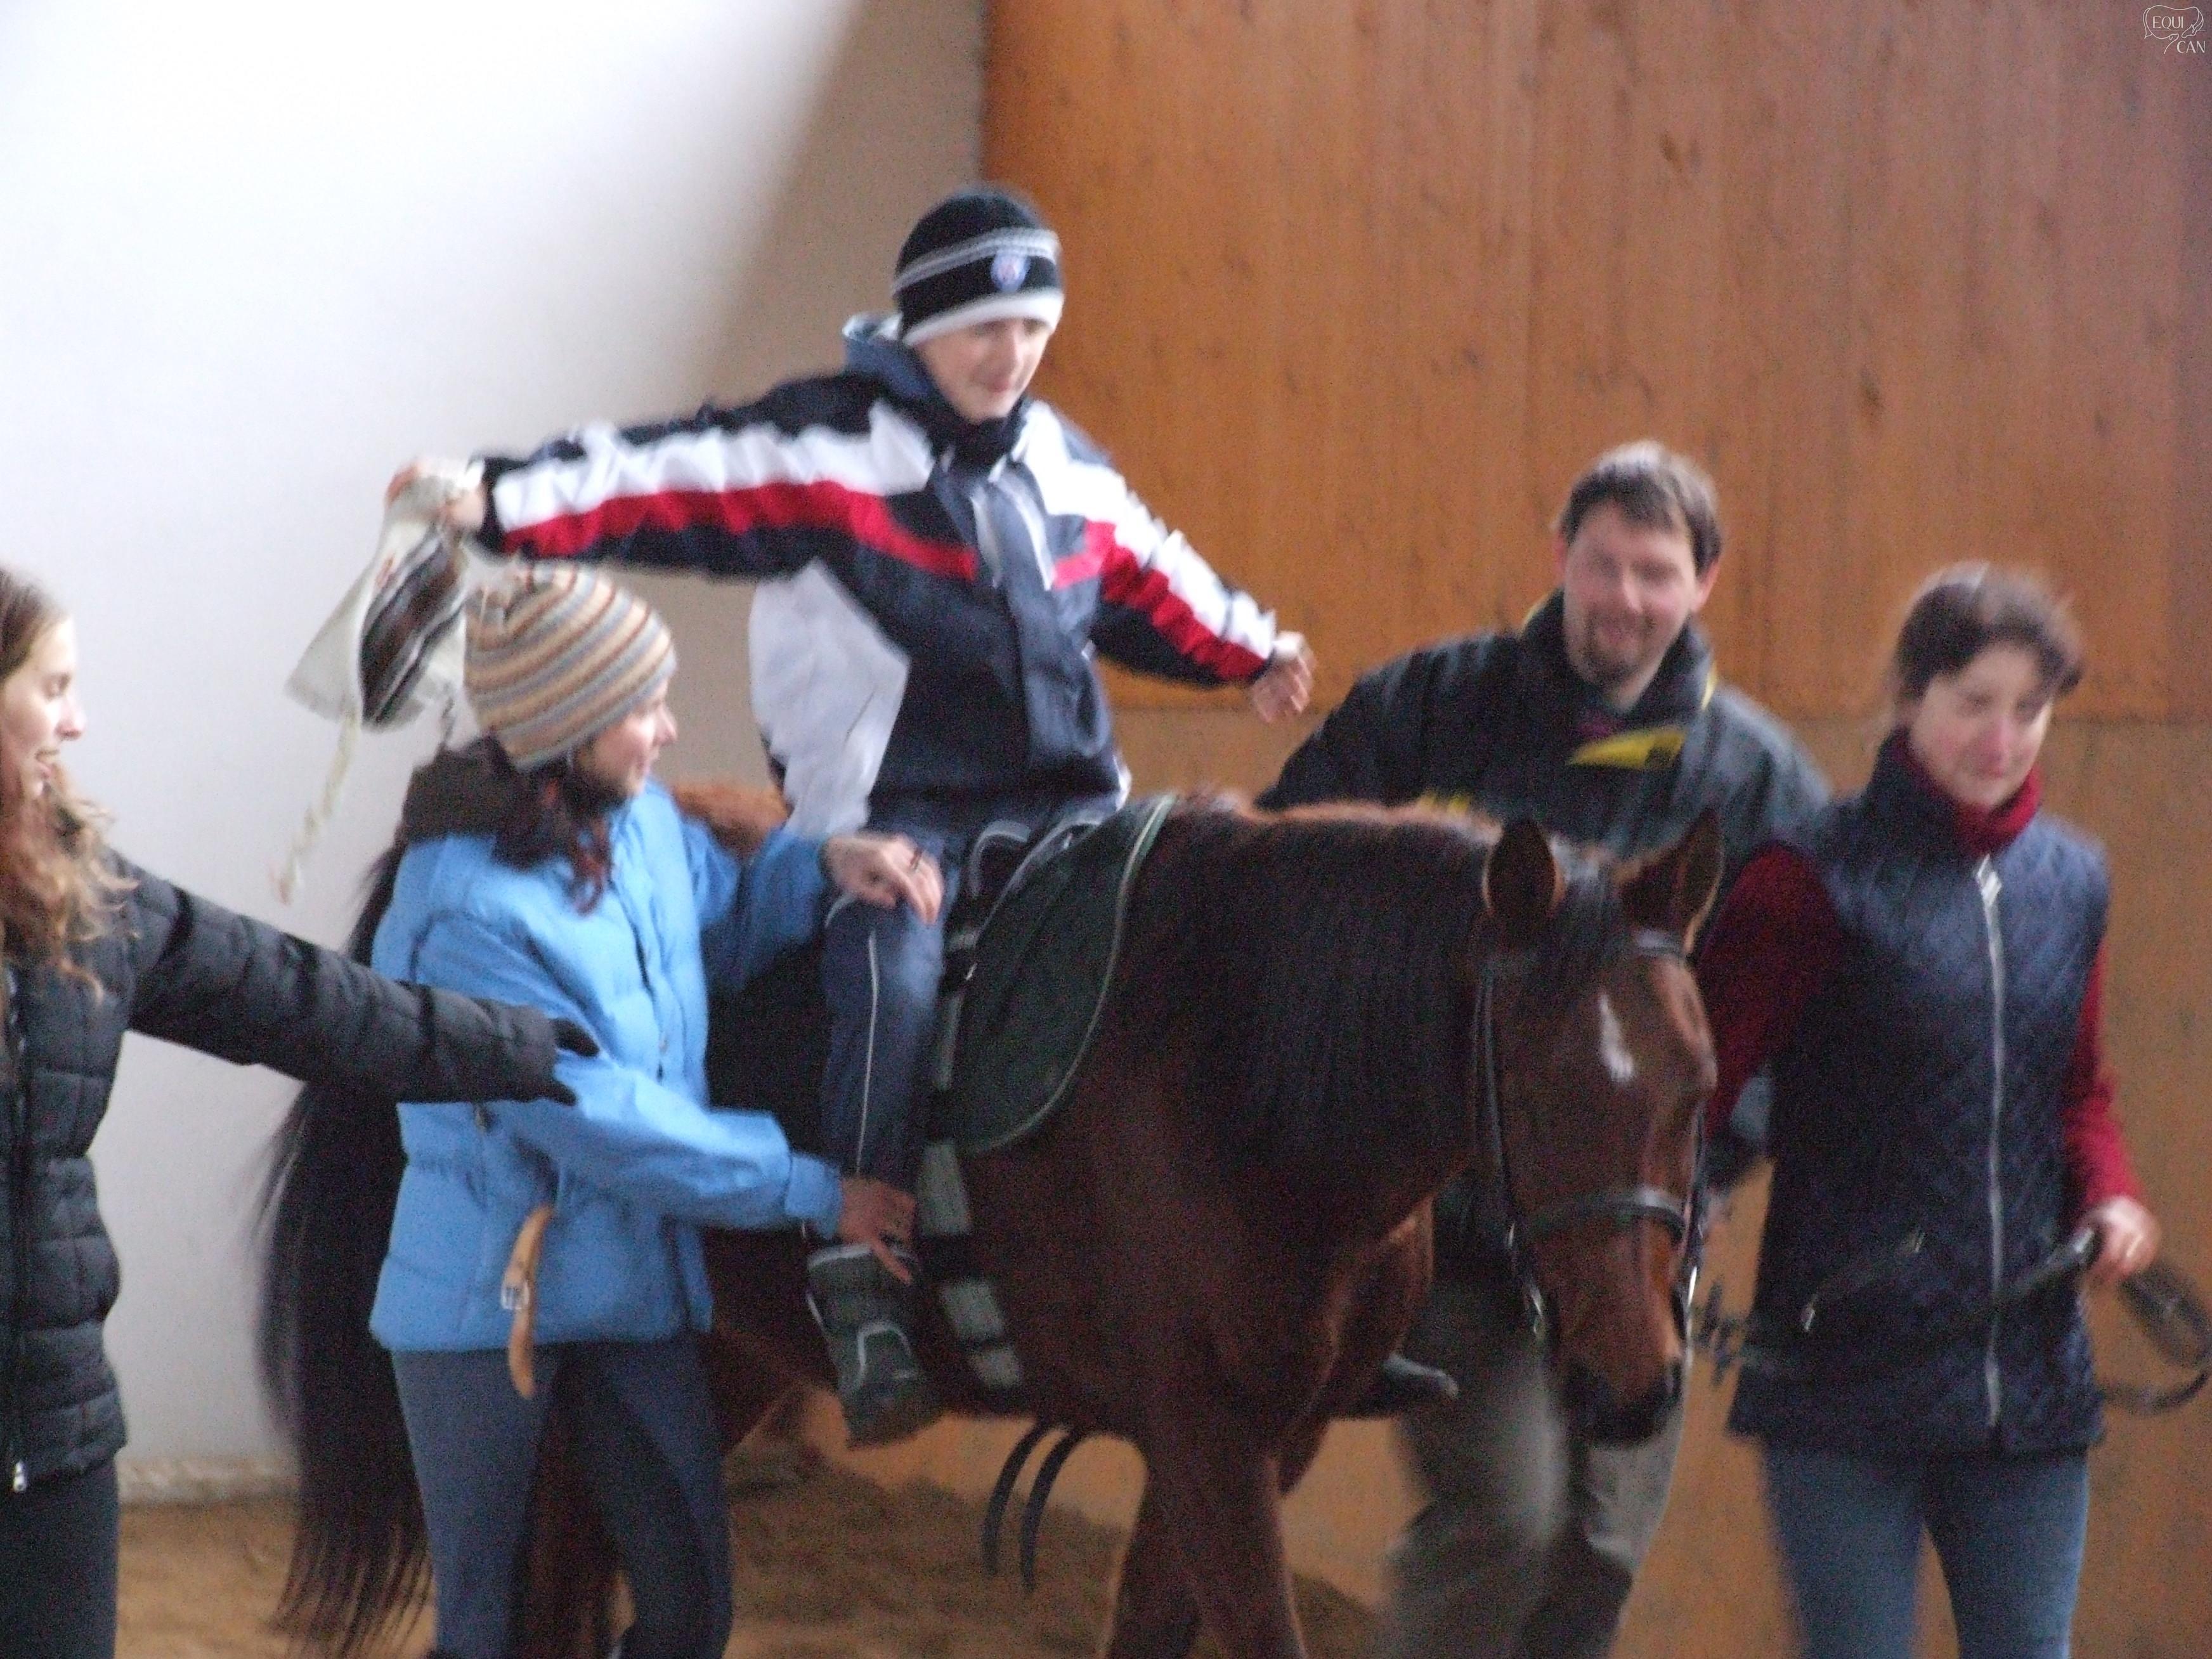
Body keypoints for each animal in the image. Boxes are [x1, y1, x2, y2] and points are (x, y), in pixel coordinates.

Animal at [258, 794, 1722, 1659]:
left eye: (1698, 1081)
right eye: (1538, 1081)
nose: (1633, 1384)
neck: (1247, 1073)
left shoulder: (1270, 1438)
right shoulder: (1207, 1433)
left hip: (713, 1359)